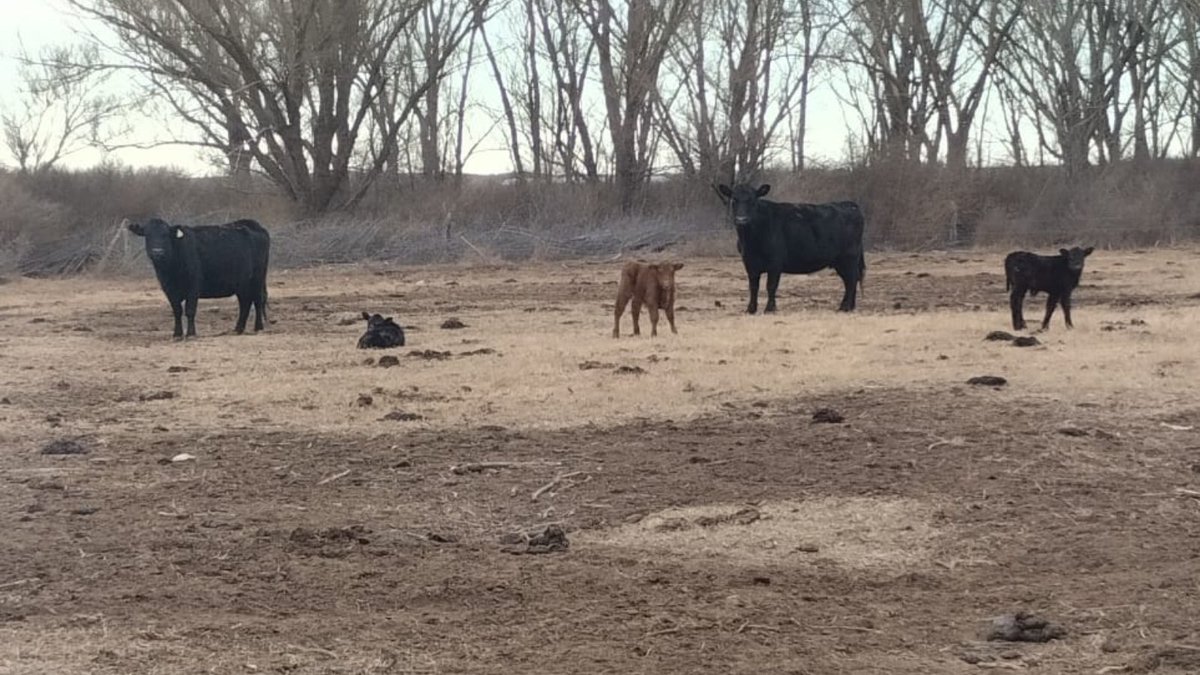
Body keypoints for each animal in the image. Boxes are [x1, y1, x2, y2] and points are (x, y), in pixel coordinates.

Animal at [127, 217, 270, 340]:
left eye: (165, 235)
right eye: (148, 235)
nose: (157, 252)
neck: (171, 270)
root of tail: (252, 224)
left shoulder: (193, 286)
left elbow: (190, 310)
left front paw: (191, 334)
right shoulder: (169, 289)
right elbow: (177, 311)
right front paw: (177, 334)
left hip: (257, 279)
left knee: (257, 300)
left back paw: (258, 327)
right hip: (242, 284)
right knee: (245, 303)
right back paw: (238, 329)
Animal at [716, 183, 866, 314]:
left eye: (753, 201)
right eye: (734, 200)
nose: (742, 220)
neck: (750, 241)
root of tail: (849, 204)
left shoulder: (775, 263)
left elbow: (771, 286)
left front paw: (770, 309)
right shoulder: (749, 263)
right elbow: (753, 287)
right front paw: (750, 309)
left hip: (849, 257)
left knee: (852, 280)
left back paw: (845, 307)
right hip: (840, 262)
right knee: (849, 280)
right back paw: (849, 307)